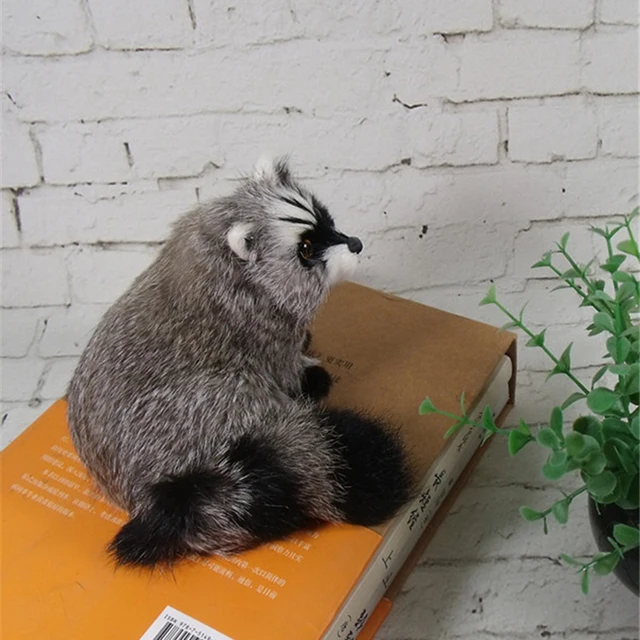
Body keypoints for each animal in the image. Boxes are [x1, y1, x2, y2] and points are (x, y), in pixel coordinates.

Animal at [67, 157, 413, 568]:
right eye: (306, 248)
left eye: (327, 219)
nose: (357, 244)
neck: (214, 248)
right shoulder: (258, 328)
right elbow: (283, 367)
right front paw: (305, 373)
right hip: (202, 407)